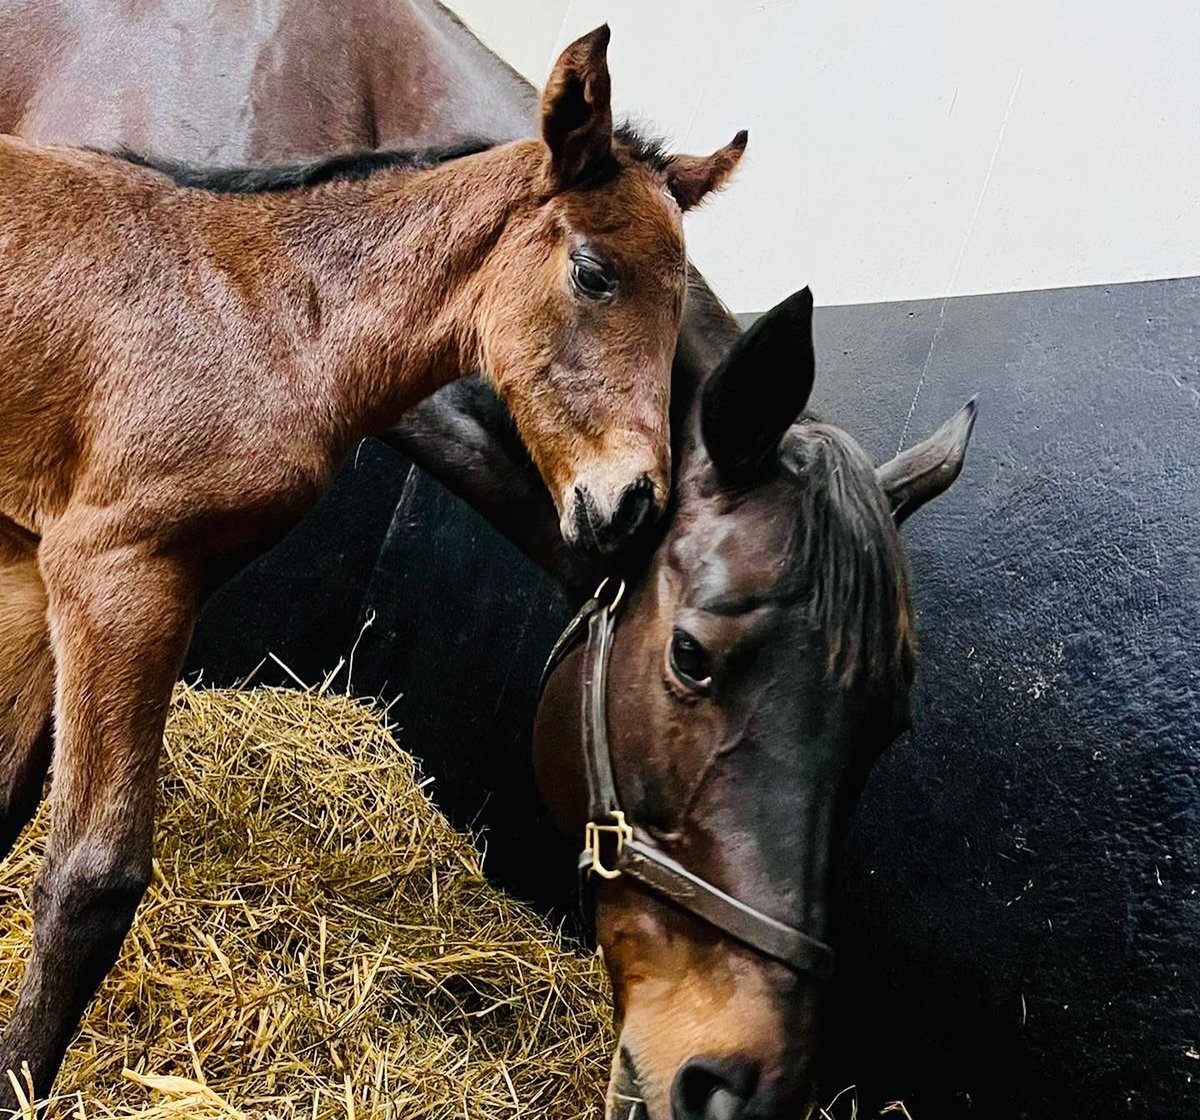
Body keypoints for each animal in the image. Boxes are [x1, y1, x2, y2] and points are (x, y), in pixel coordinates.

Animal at [0, 23, 749, 1099]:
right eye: (594, 273)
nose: (633, 504)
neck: (269, 310)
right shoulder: (122, 573)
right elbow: (91, 878)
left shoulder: (37, 569)